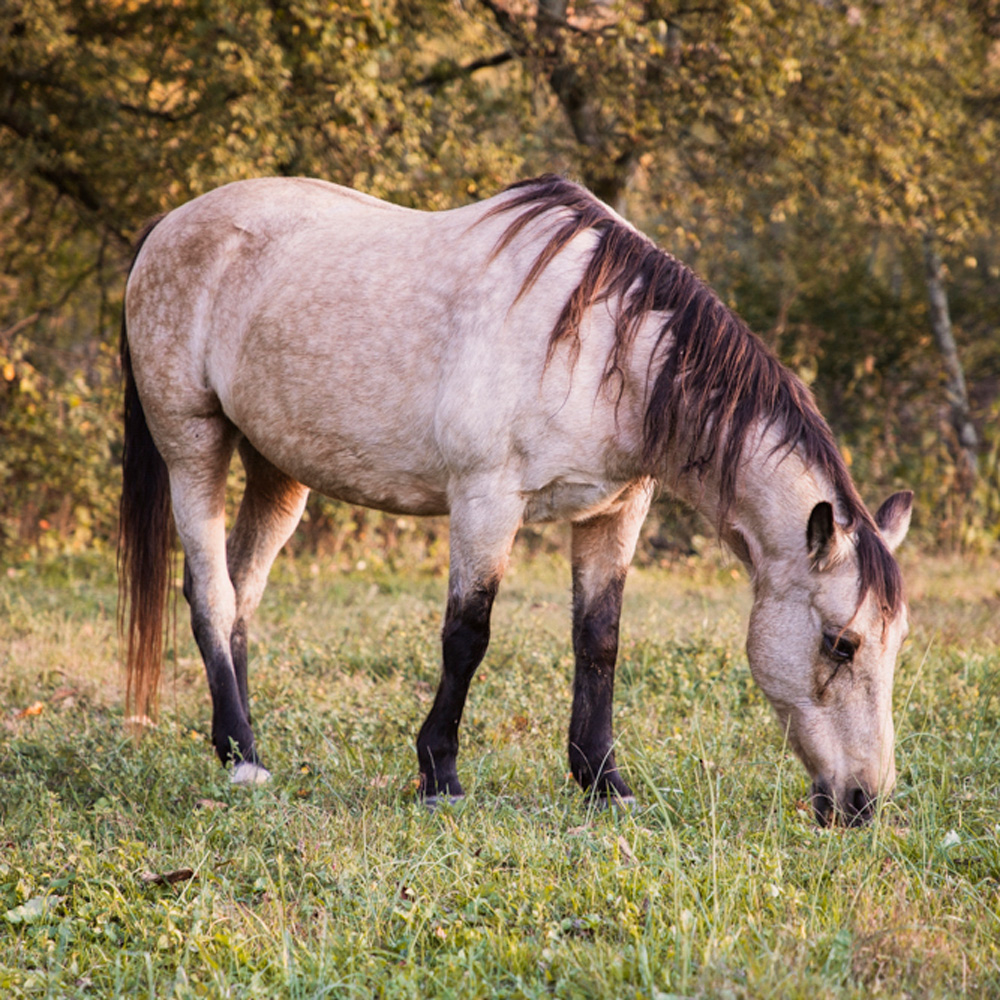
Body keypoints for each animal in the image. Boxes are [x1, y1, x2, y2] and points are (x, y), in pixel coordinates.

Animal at [119, 174, 916, 828]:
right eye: (841, 643)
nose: (861, 802)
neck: (604, 349)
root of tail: (169, 223)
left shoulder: (612, 512)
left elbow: (599, 641)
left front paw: (603, 784)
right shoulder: (486, 501)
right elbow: (467, 636)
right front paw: (440, 776)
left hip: (279, 470)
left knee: (243, 592)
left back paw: (243, 745)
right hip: (193, 443)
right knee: (211, 593)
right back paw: (242, 761)